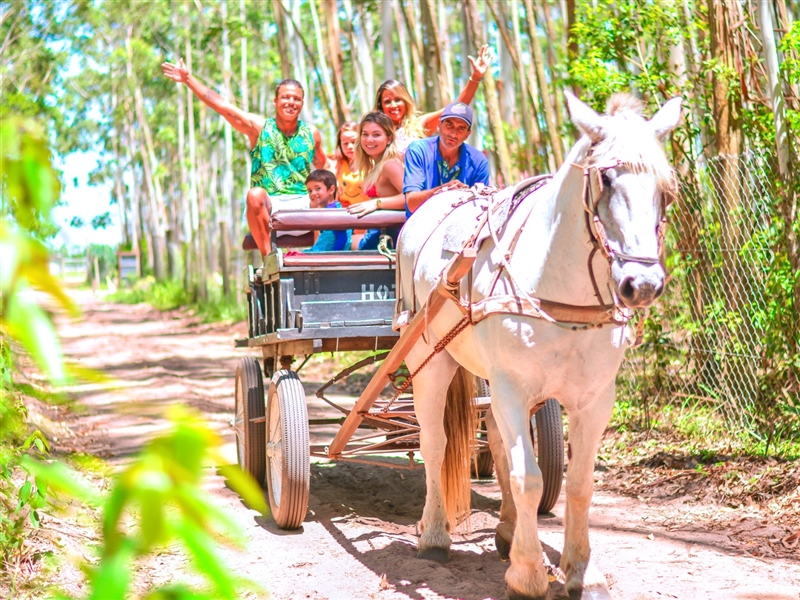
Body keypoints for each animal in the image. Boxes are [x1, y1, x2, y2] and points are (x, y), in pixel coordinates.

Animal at [396, 91, 680, 596]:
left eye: (665, 188)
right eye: (606, 178)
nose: (642, 284)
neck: (560, 291)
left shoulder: (594, 398)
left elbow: (578, 483)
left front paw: (581, 571)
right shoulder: (511, 387)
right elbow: (527, 477)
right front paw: (527, 574)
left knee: (497, 443)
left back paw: (508, 532)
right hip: (429, 358)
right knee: (434, 443)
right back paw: (434, 535)